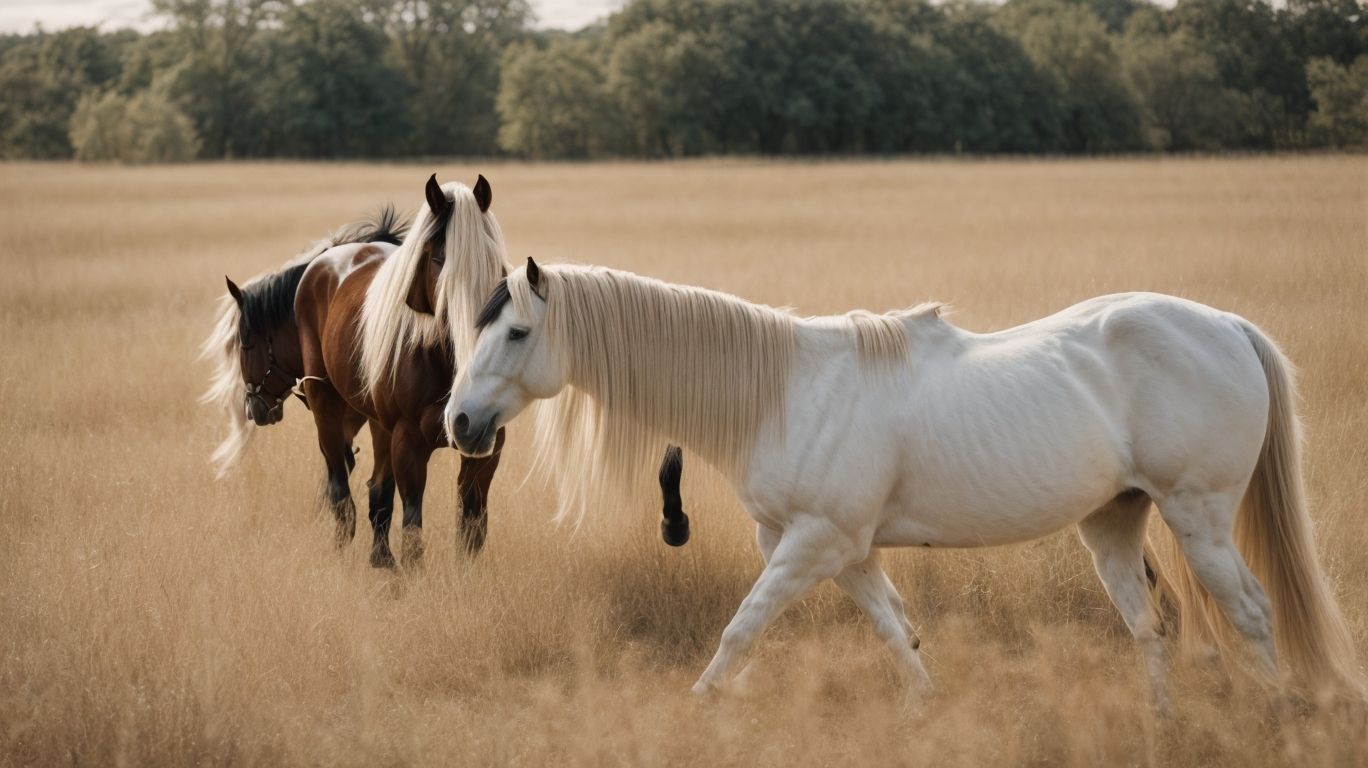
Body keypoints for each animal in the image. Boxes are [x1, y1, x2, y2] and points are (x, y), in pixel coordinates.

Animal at [205, 179, 691, 568]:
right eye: (438, 257)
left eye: (494, 261)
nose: (255, 406)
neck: (444, 360)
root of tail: (326, 264)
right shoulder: (407, 443)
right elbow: (411, 526)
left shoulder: (484, 447)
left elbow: (470, 527)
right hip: (331, 410)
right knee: (342, 494)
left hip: (369, 421)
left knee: (371, 493)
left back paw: (378, 561)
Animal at [446, 257, 1361, 708]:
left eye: (517, 331)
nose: (458, 423)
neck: (779, 392)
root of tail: (1226, 327)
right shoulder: (842, 552)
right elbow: (897, 634)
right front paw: (928, 709)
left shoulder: (811, 546)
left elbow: (740, 632)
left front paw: (696, 709)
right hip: (1113, 523)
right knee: (1149, 628)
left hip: (1197, 517)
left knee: (1251, 611)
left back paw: (1281, 714)